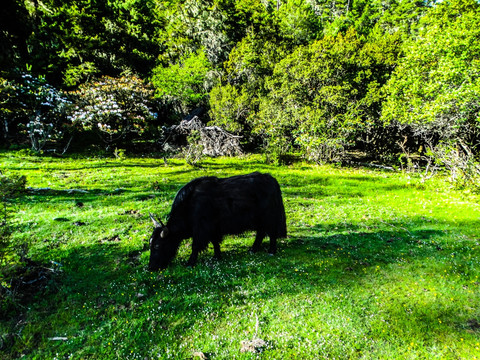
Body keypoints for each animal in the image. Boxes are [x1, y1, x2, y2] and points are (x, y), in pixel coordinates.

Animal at [148, 172, 286, 270]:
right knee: (261, 233)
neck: (189, 207)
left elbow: (195, 246)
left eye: (157, 245)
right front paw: (217, 256)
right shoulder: (212, 228)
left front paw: (190, 263)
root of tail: (272, 180)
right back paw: (252, 250)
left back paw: (271, 251)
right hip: (259, 220)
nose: (150, 268)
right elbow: (215, 242)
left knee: (271, 233)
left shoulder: (201, 229)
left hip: (269, 217)